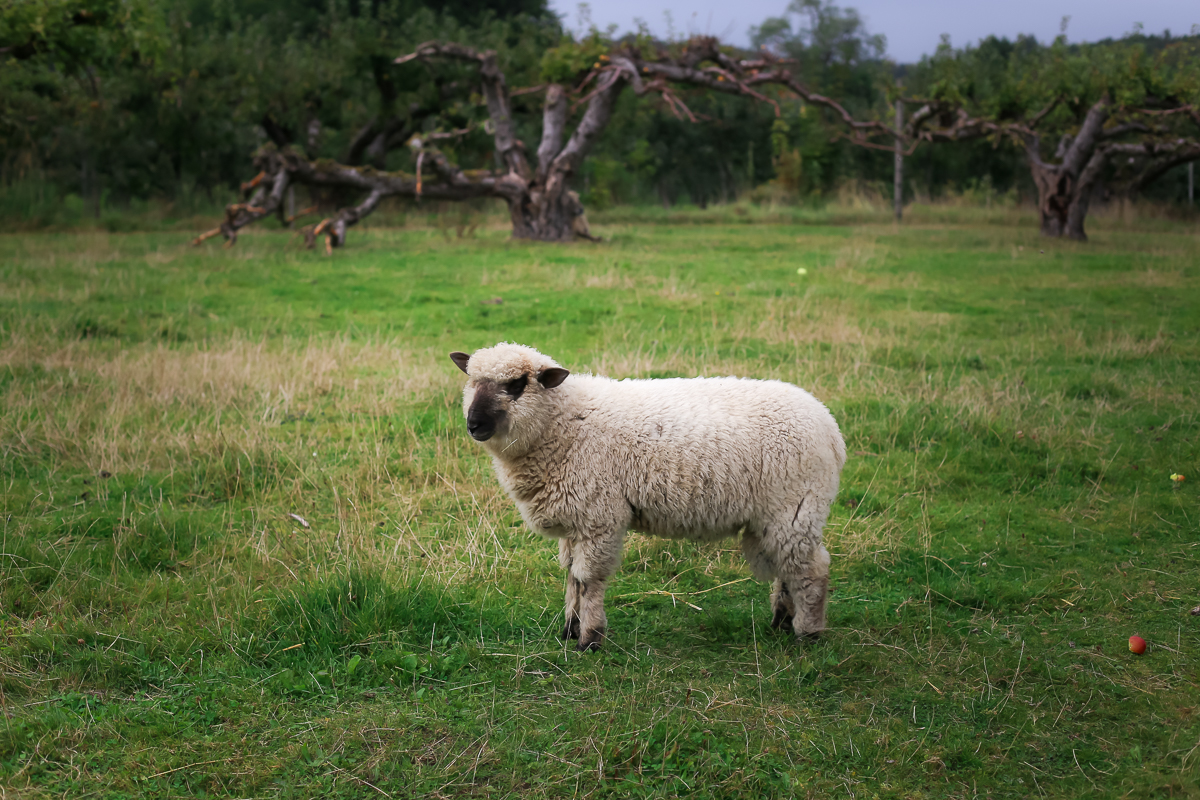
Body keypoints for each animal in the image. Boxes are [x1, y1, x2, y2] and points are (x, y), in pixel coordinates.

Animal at [446, 343, 849, 652]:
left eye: (515, 384)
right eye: (472, 380)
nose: (473, 425)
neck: (565, 422)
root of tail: (831, 428)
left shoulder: (599, 517)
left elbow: (589, 580)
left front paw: (589, 639)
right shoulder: (575, 521)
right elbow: (572, 577)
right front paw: (569, 630)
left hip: (795, 506)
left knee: (811, 569)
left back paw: (808, 632)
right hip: (780, 516)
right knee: (789, 566)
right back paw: (781, 620)